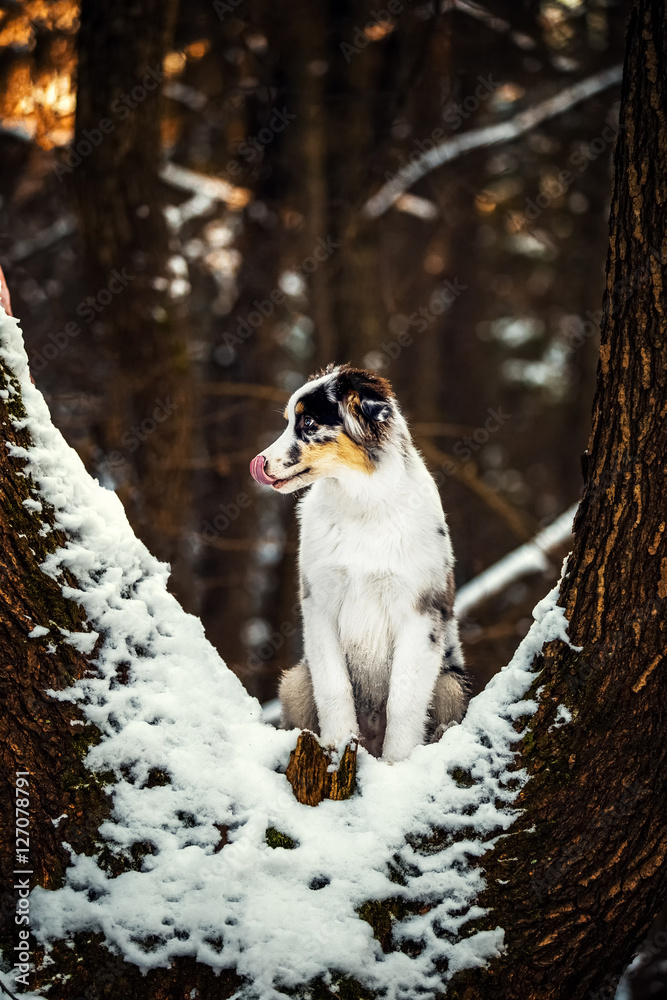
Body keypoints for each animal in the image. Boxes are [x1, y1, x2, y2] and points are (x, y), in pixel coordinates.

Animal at [248, 364, 472, 760]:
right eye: (289, 421)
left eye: (308, 423)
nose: (259, 463)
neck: (362, 504)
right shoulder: (320, 603)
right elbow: (334, 688)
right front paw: (337, 748)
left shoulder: (419, 610)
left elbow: (404, 701)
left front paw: (396, 764)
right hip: (295, 680)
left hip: (451, 683)